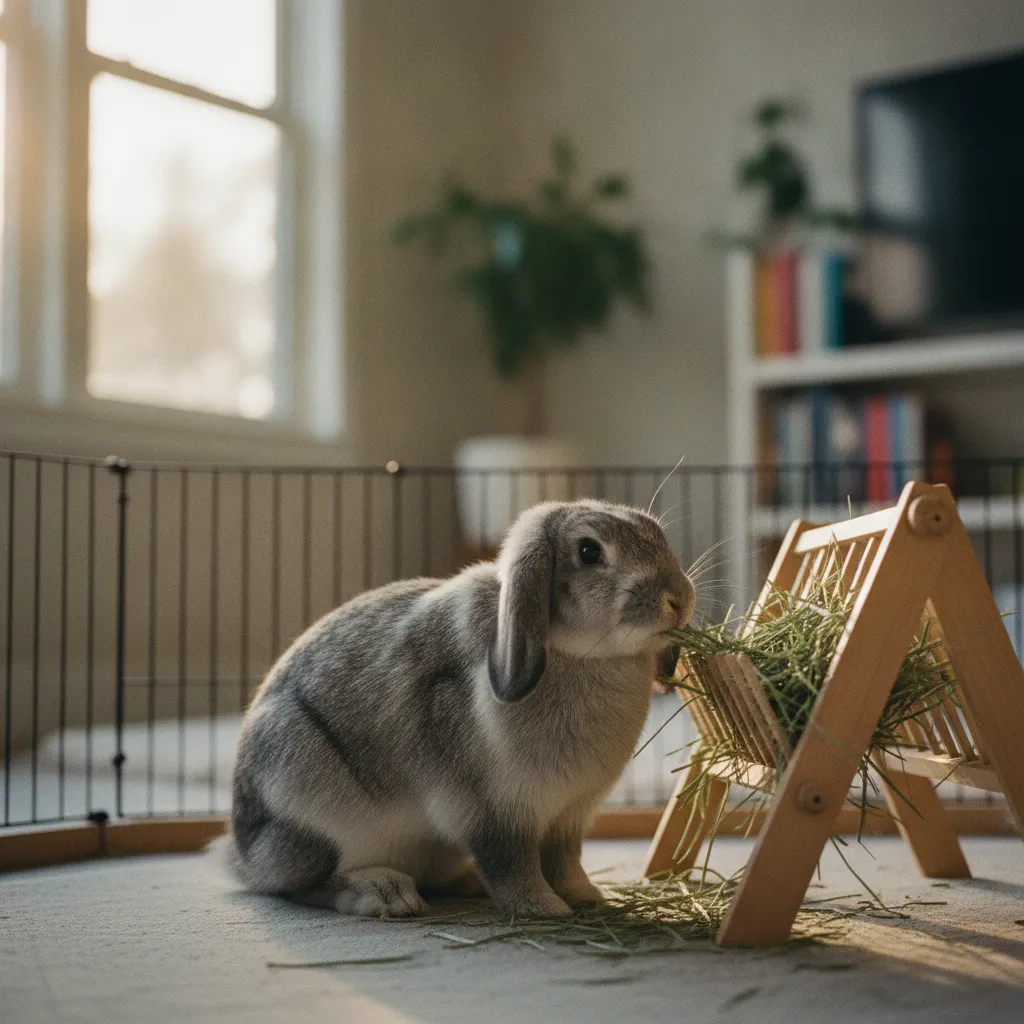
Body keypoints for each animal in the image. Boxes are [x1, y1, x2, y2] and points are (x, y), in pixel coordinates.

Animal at [225, 498, 695, 919]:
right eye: (589, 552)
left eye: (657, 533)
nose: (678, 600)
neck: (582, 655)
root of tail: (245, 854)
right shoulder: (496, 812)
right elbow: (513, 866)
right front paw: (544, 908)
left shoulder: (569, 817)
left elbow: (566, 862)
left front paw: (588, 897)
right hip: (312, 811)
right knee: (300, 884)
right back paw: (385, 894)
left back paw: (466, 884)